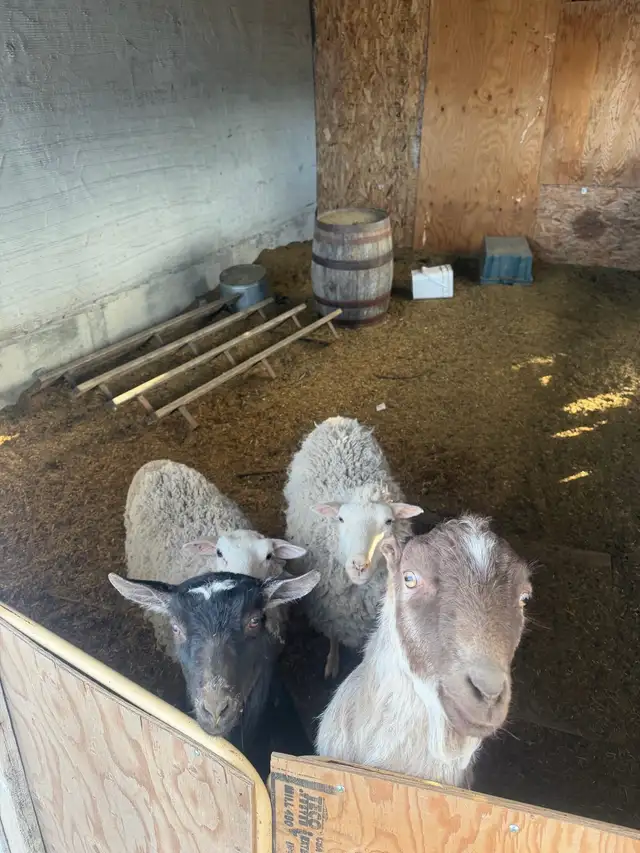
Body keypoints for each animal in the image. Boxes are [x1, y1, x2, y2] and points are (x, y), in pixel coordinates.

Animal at [284, 416, 423, 679]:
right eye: (340, 519)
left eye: (388, 521)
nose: (359, 564)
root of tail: (336, 420)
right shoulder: (331, 612)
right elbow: (333, 637)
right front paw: (332, 663)